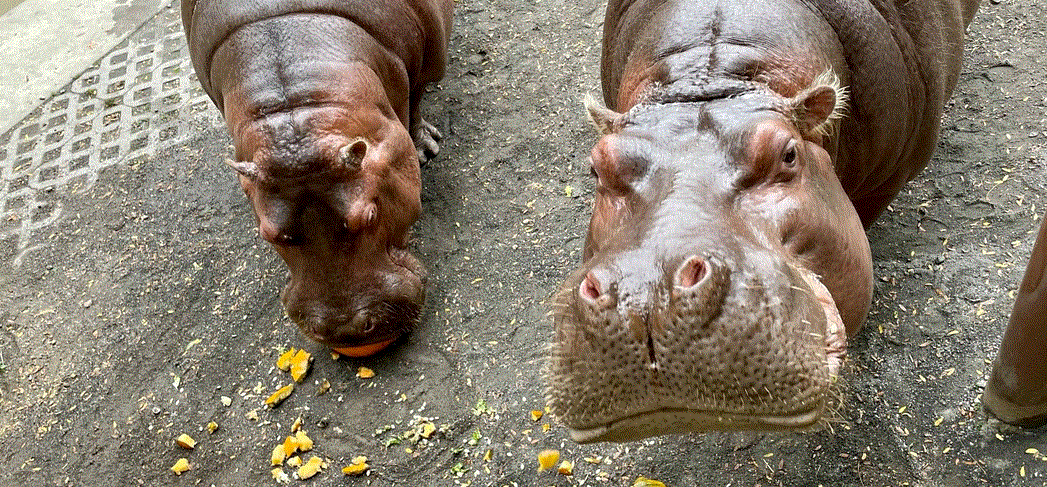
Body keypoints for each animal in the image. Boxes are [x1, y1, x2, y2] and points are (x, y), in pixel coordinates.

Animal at [181, 0, 452, 356]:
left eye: (370, 214)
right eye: (267, 232)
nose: (345, 328)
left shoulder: (425, 63)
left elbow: (416, 98)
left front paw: (425, 151)